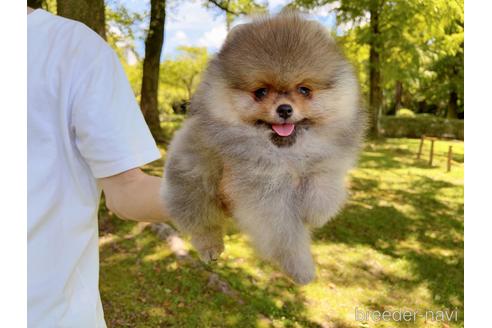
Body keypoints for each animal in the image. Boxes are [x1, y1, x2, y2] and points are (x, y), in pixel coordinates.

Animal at [161, 12, 366, 284]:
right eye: (260, 92)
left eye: (304, 90)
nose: (285, 109)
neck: (286, 154)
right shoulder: (264, 193)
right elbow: (284, 234)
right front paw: (301, 270)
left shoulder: (325, 160)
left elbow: (325, 182)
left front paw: (317, 211)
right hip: (192, 180)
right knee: (201, 221)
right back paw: (210, 247)